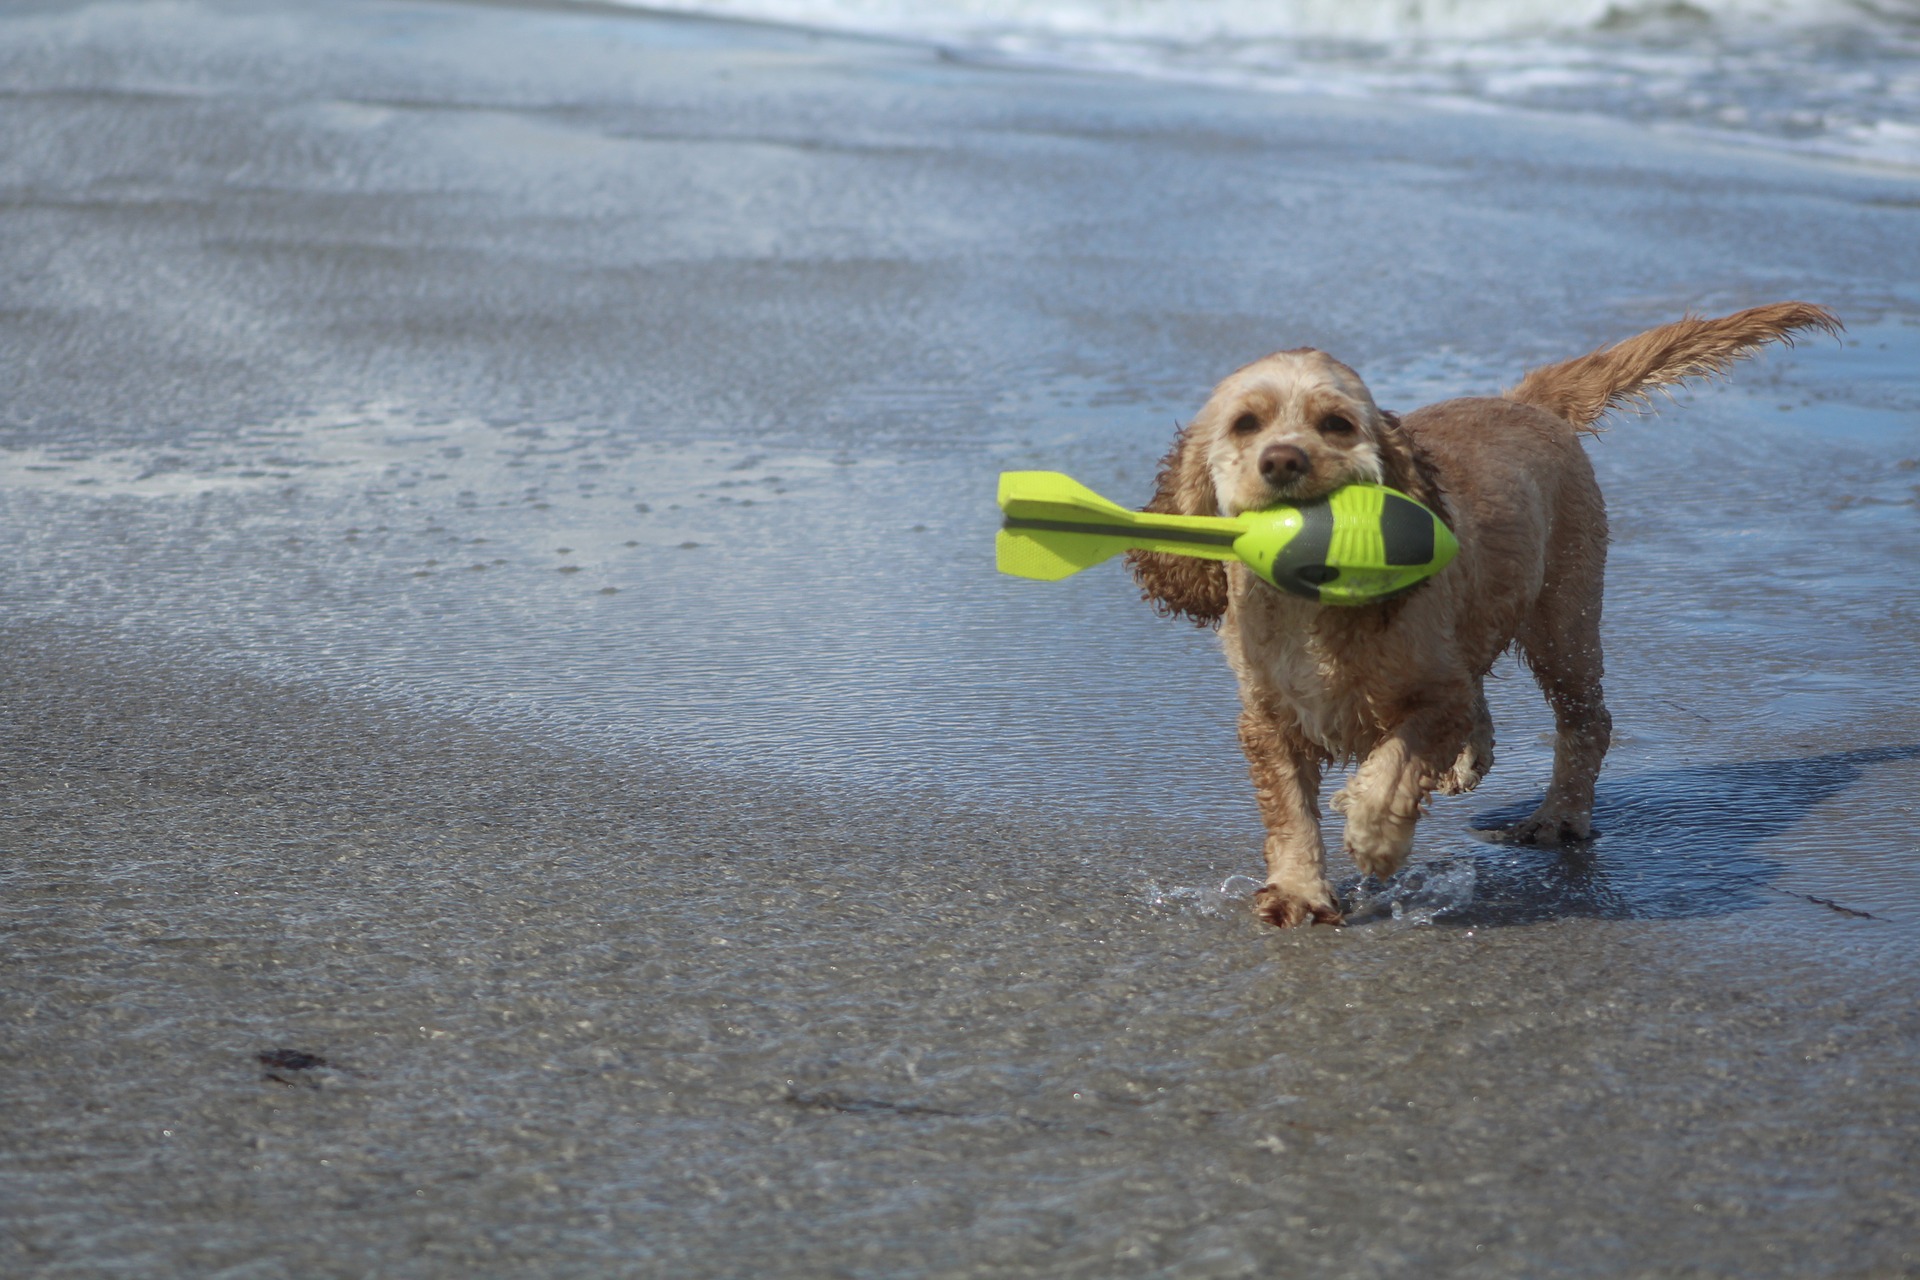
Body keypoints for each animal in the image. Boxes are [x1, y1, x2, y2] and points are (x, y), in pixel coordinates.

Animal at [1128, 305, 1835, 924]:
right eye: (1246, 423)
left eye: (1336, 424)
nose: (1282, 460)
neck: (1316, 605)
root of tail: (1525, 399)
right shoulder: (1268, 719)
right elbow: (1291, 815)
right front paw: (1300, 892)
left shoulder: (1436, 696)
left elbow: (1395, 764)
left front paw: (1374, 835)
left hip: (1564, 622)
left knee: (1587, 722)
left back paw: (1557, 818)